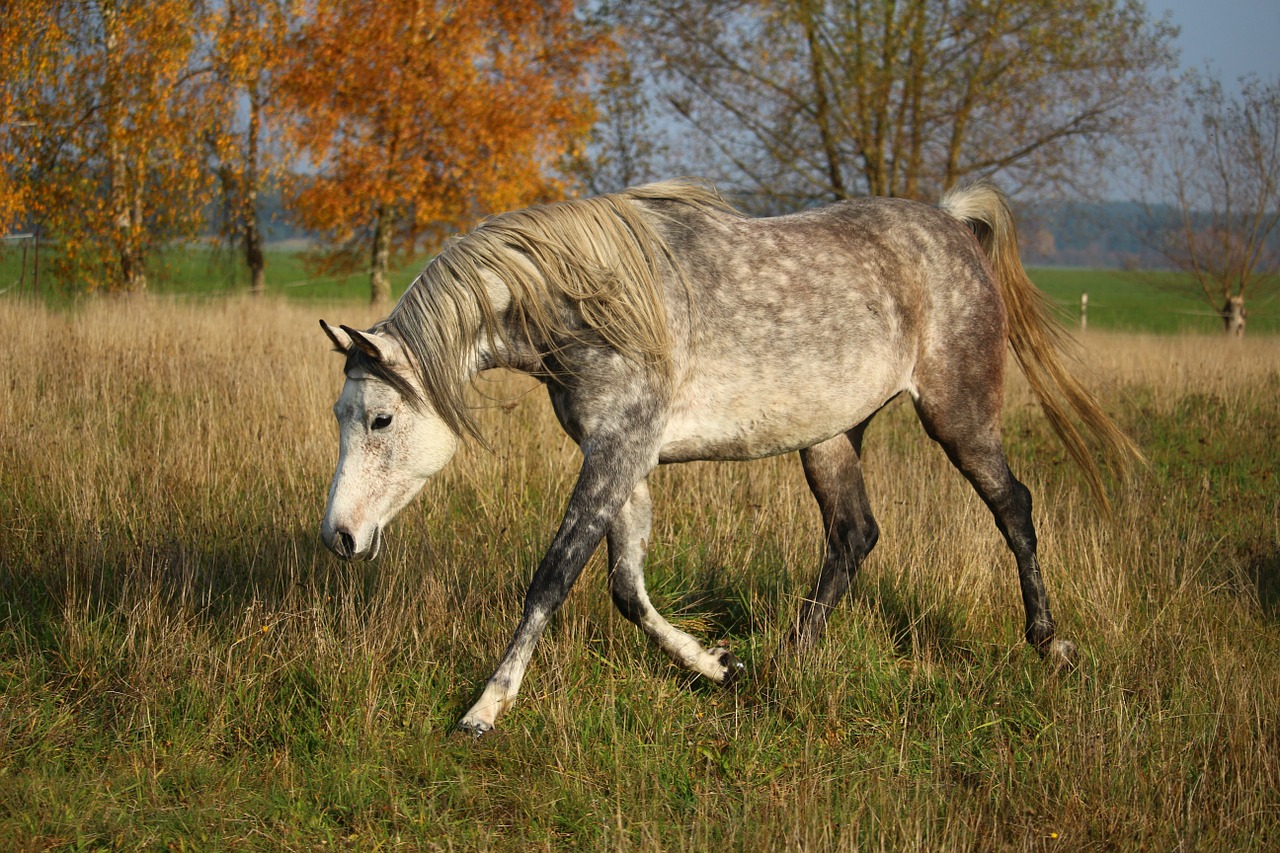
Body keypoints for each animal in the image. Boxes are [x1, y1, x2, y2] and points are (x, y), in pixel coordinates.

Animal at [314, 178, 1136, 732]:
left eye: (381, 418)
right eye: (342, 416)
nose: (340, 537)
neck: (598, 302)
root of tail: (954, 227)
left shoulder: (616, 454)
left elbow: (553, 576)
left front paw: (486, 706)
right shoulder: (624, 462)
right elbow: (626, 588)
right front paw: (719, 665)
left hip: (958, 416)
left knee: (1012, 509)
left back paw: (1048, 643)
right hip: (830, 438)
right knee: (853, 534)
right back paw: (787, 660)